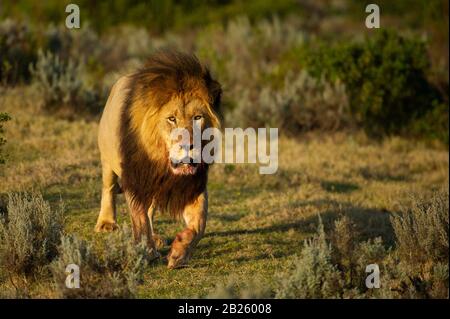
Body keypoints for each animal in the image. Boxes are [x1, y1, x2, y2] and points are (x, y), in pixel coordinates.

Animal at [94, 50, 221, 270]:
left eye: (198, 117)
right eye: (172, 119)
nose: (188, 146)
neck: (163, 165)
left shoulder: (193, 184)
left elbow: (200, 223)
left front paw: (179, 252)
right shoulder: (135, 179)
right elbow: (139, 219)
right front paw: (147, 251)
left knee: (151, 209)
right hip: (108, 158)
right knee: (108, 189)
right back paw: (107, 223)